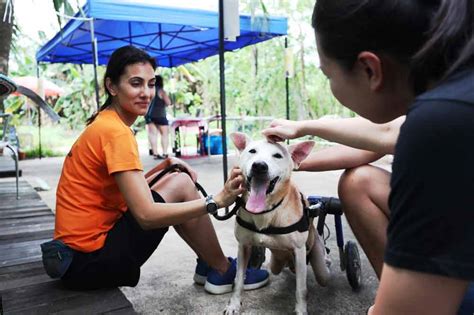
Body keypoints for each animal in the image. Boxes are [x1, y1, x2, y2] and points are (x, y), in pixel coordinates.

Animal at [225, 133, 330, 315]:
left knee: (322, 273)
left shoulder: (299, 251)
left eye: (277, 156)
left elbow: (301, 289)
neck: (266, 211)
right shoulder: (243, 246)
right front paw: (234, 305)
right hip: (276, 263)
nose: (259, 166)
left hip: (317, 259)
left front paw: (301, 310)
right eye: (252, 151)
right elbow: (238, 280)